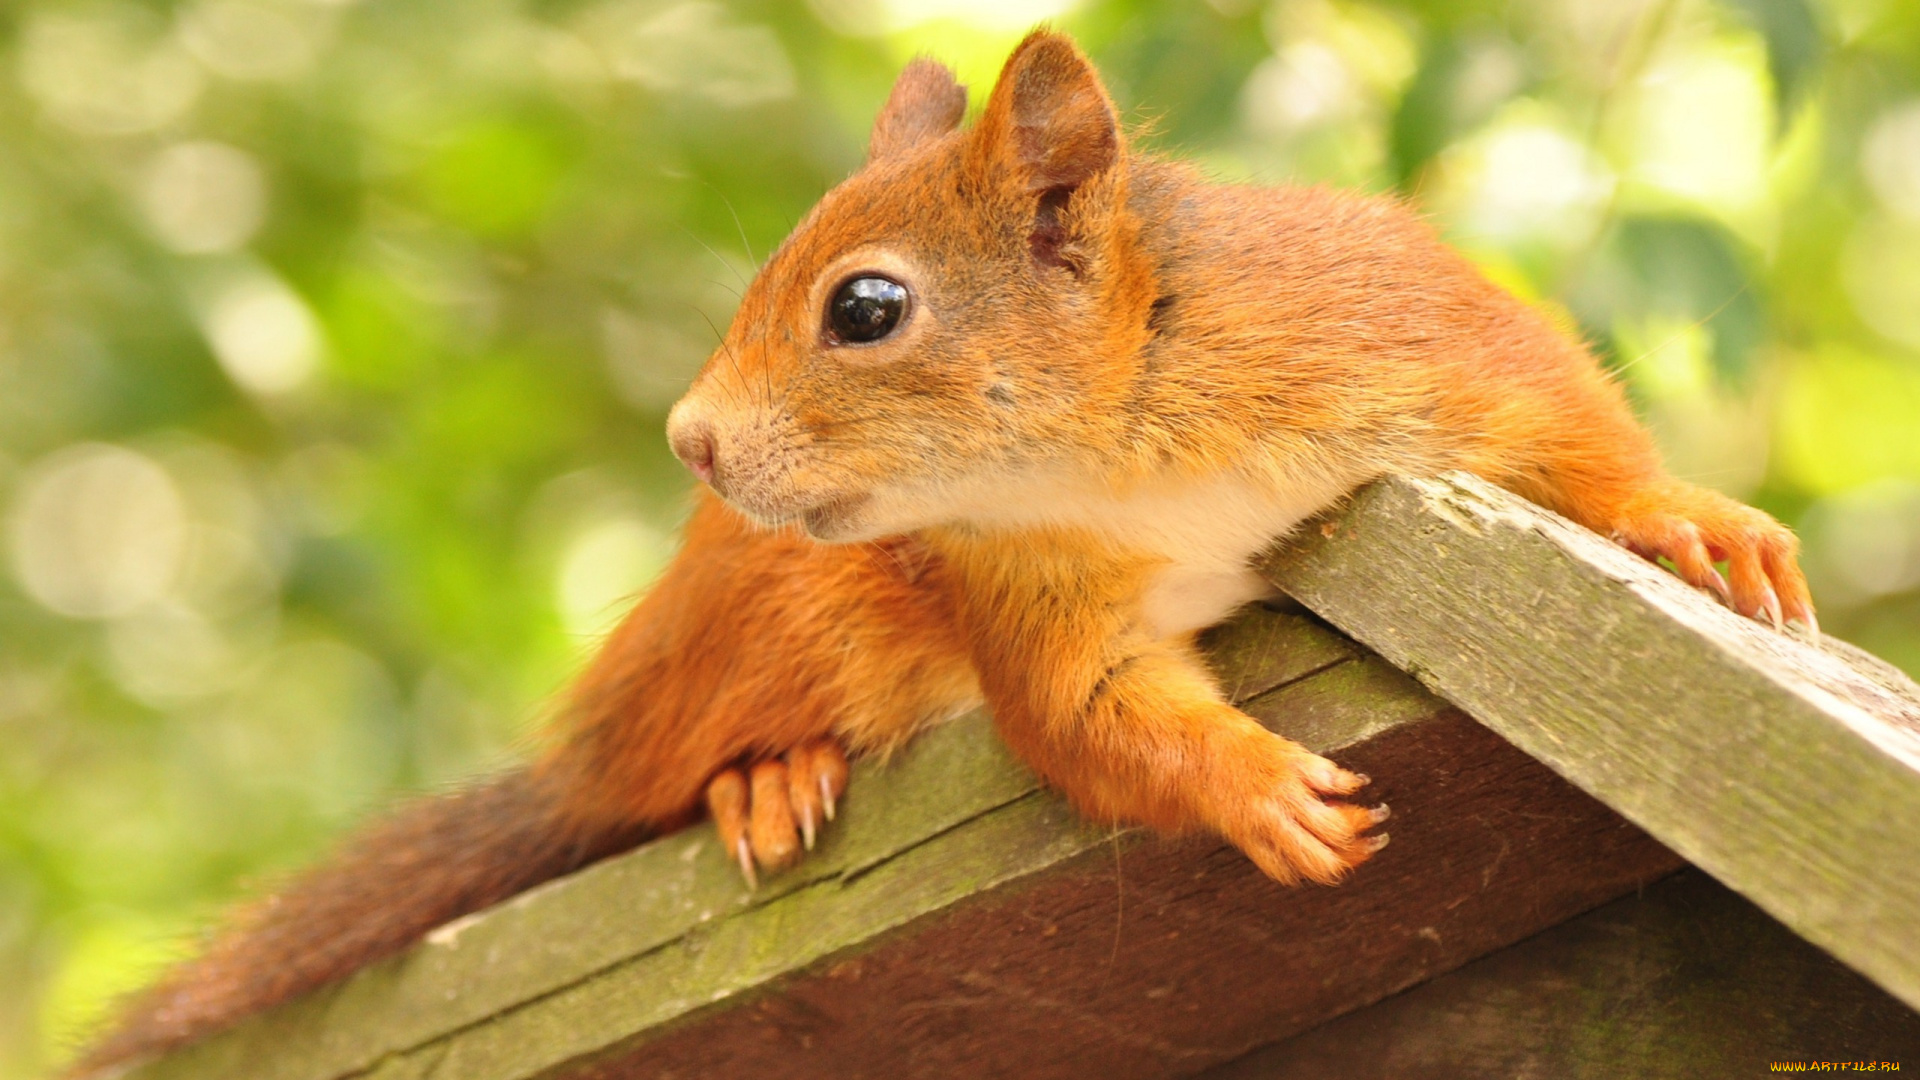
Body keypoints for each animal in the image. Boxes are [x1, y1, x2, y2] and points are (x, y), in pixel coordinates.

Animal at [78, 29, 1812, 1068]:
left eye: (865, 306)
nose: (690, 444)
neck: (1118, 448)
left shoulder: (1411, 336)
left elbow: (1571, 428)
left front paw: (1696, 521)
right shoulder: (1026, 595)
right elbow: (1085, 719)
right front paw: (1262, 791)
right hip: (780, 607)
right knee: (659, 777)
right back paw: (761, 778)